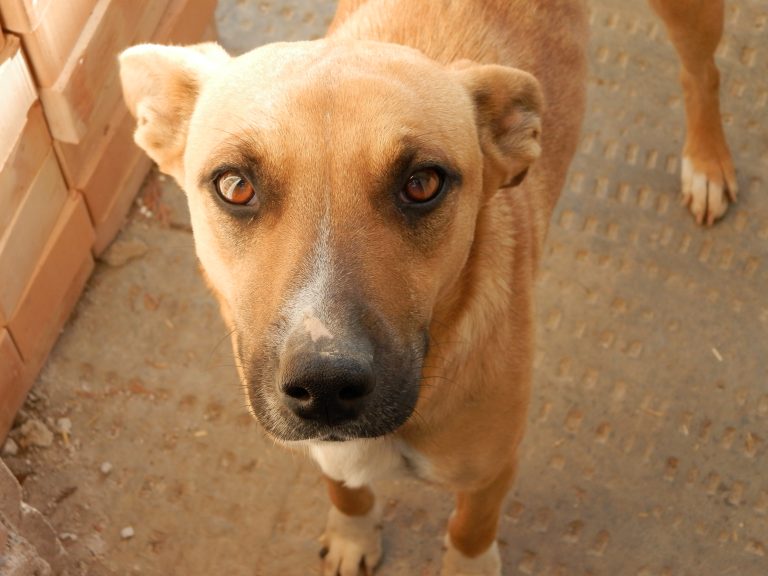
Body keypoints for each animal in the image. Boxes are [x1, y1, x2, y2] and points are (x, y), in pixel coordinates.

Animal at [117, 0, 736, 572]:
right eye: (235, 186)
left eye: (422, 183)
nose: (324, 384)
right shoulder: (325, 451)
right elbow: (345, 490)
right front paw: (353, 535)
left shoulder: (492, 471)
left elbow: (470, 528)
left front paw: (468, 565)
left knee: (701, 73)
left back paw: (706, 162)